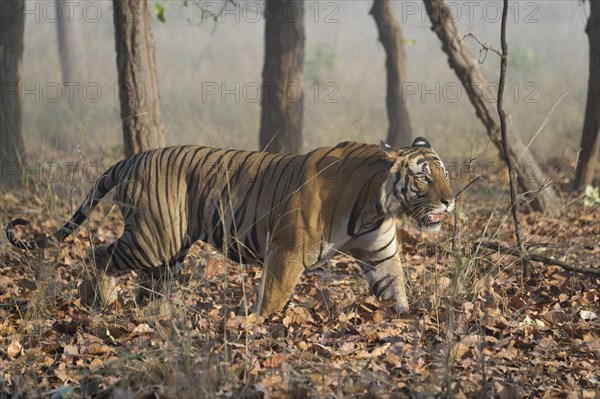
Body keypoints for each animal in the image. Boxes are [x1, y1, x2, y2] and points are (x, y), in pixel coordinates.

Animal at [5, 139, 454, 318]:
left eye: (444, 174)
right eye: (423, 177)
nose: (450, 201)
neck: (378, 205)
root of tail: (132, 158)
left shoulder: (381, 253)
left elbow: (396, 290)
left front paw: (408, 321)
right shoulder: (287, 251)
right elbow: (273, 296)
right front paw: (257, 325)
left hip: (169, 248)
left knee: (149, 285)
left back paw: (151, 313)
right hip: (152, 239)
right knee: (97, 253)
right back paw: (101, 302)